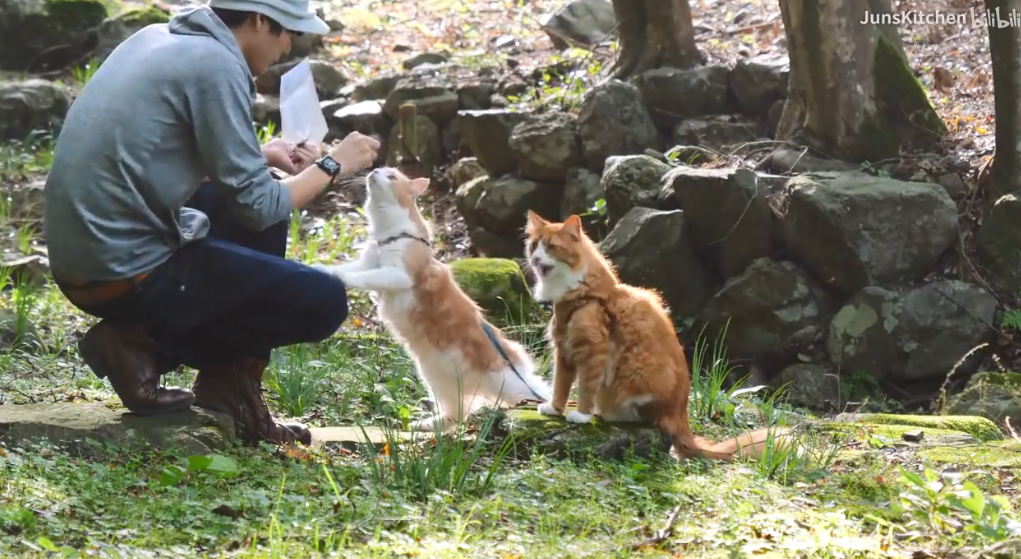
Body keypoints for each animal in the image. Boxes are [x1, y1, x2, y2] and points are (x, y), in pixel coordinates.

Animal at [316, 168, 551, 430]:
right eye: (380, 170)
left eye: (392, 176)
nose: (375, 170)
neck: (388, 236)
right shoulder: (367, 262)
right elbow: (349, 268)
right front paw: (320, 268)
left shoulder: (398, 274)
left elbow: (363, 277)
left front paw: (339, 277)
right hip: (434, 377)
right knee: (457, 412)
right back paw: (428, 425)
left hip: (497, 384)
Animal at [522, 212, 792, 461]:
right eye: (534, 246)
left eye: (551, 247)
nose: (535, 259)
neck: (580, 294)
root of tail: (681, 417)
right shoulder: (563, 350)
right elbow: (560, 385)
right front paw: (555, 409)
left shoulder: (592, 349)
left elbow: (585, 387)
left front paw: (582, 414)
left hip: (638, 373)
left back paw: (605, 413)